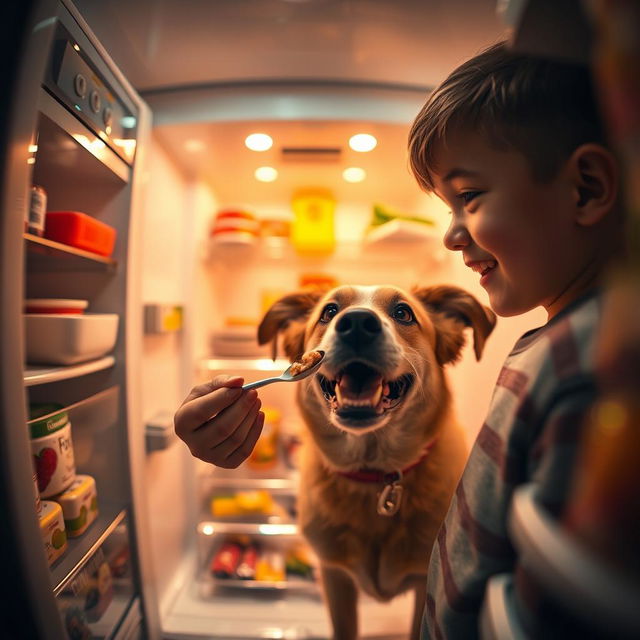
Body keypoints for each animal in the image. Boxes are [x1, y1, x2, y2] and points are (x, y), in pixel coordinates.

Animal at [258, 284, 498, 640]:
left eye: (403, 313)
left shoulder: (423, 583)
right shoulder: (335, 576)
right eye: (329, 311)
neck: (374, 474)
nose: (357, 323)